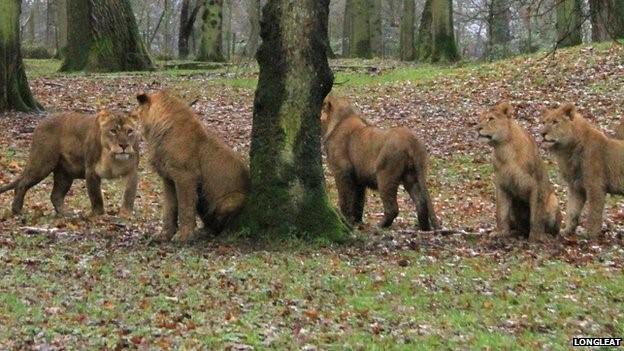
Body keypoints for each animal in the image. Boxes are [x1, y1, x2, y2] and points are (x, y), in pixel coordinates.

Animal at [0, 112, 139, 217]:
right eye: (113, 131)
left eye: (130, 131)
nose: (124, 145)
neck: (113, 158)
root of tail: (41, 123)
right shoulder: (91, 171)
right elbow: (96, 197)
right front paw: (99, 216)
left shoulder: (133, 172)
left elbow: (129, 195)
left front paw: (126, 215)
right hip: (42, 164)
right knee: (22, 185)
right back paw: (17, 211)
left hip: (64, 174)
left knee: (55, 195)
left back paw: (66, 214)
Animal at [134, 92, 249, 243]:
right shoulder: (168, 178)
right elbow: (169, 208)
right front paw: (165, 234)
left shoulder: (186, 176)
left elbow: (185, 207)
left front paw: (183, 236)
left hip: (232, 200)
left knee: (227, 224)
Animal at [322, 96, 438, 231]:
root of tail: (411, 140)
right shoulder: (359, 178)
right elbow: (358, 201)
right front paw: (357, 222)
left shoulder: (342, 171)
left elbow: (345, 198)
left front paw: (347, 221)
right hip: (412, 175)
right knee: (421, 202)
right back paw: (424, 228)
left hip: (385, 175)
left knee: (393, 208)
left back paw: (379, 226)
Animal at [480, 100, 564, 241]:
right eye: (481, 118)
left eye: (490, 119)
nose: (477, 128)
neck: (504, 149)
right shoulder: (501, 185)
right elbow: (501, 212)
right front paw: (500, 232)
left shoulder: (536, 184)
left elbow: (536, 214)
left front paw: (536, 237)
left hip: (553, 200)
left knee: (554, 230)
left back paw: (546, 234)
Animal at [540, 103, 624, 238]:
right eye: (544, 122)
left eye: (555, 122)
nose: (542, 133)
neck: (568, 151)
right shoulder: (575, 187)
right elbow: (572, 211)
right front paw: (566, 231)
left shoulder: (596, 187)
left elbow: (594, 213)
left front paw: (590, 235)